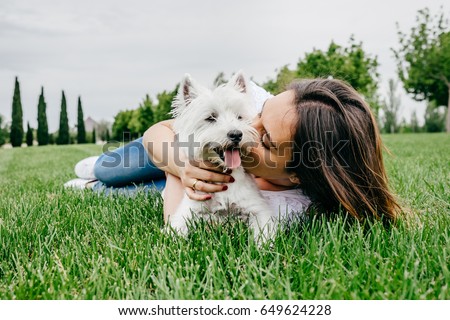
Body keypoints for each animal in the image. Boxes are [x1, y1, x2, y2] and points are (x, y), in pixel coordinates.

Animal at [168, 72, 276, 242]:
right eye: (211, 118)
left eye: (239, 117)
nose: (236, 134)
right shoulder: (189, 210)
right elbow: (175, 231)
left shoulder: (257, 208)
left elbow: (264, 233)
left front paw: (262, 247)